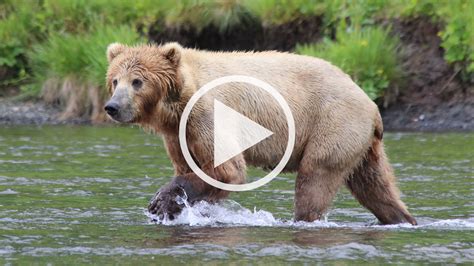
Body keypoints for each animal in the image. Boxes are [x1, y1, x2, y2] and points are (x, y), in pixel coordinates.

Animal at [104, 41, 418, 224]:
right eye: (115, 80)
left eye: (137, 81)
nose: (112, 107)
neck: (179, 102)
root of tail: (371, 104)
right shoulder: (179, 133)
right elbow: (190, 166)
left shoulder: (208, 115)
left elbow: (227, 170)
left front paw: (162, 201)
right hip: (363, 145)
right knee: (375, 186)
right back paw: (403, 219)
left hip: (333, 123)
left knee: (315, 178)